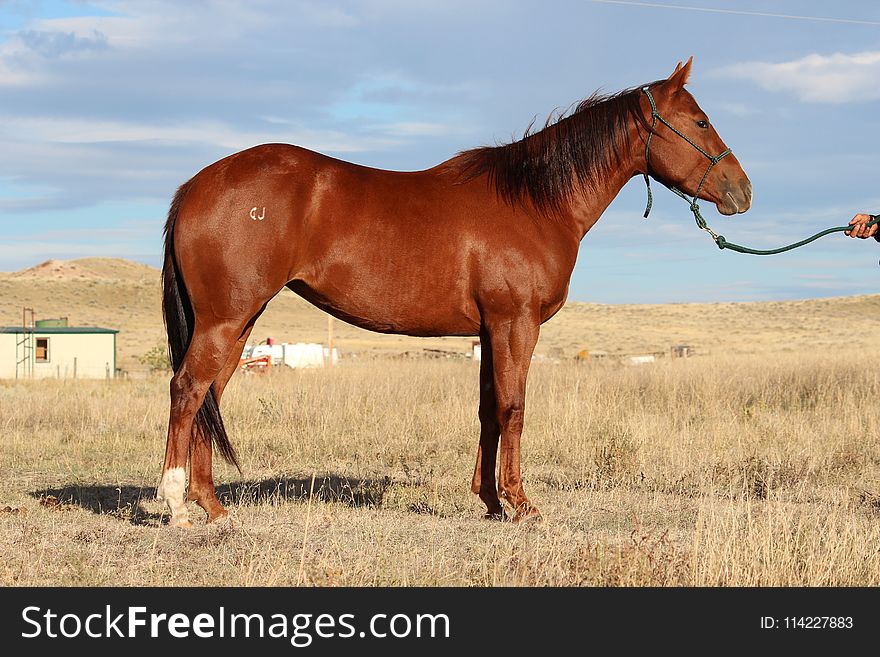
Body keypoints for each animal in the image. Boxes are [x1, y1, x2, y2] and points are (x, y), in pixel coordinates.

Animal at [156, 59, 748, 524]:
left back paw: (212, 505)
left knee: (209, 397)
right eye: (700, 120)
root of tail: (196, 185)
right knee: (187, 390)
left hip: (240, 322)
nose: (742, 191)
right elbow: (513, 407)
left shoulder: (489, 330)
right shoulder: (516, 323)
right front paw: (520, 504)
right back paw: (178, 504)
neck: (534, 200)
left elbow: (489, 410)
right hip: (225, 320)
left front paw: (489, 500)